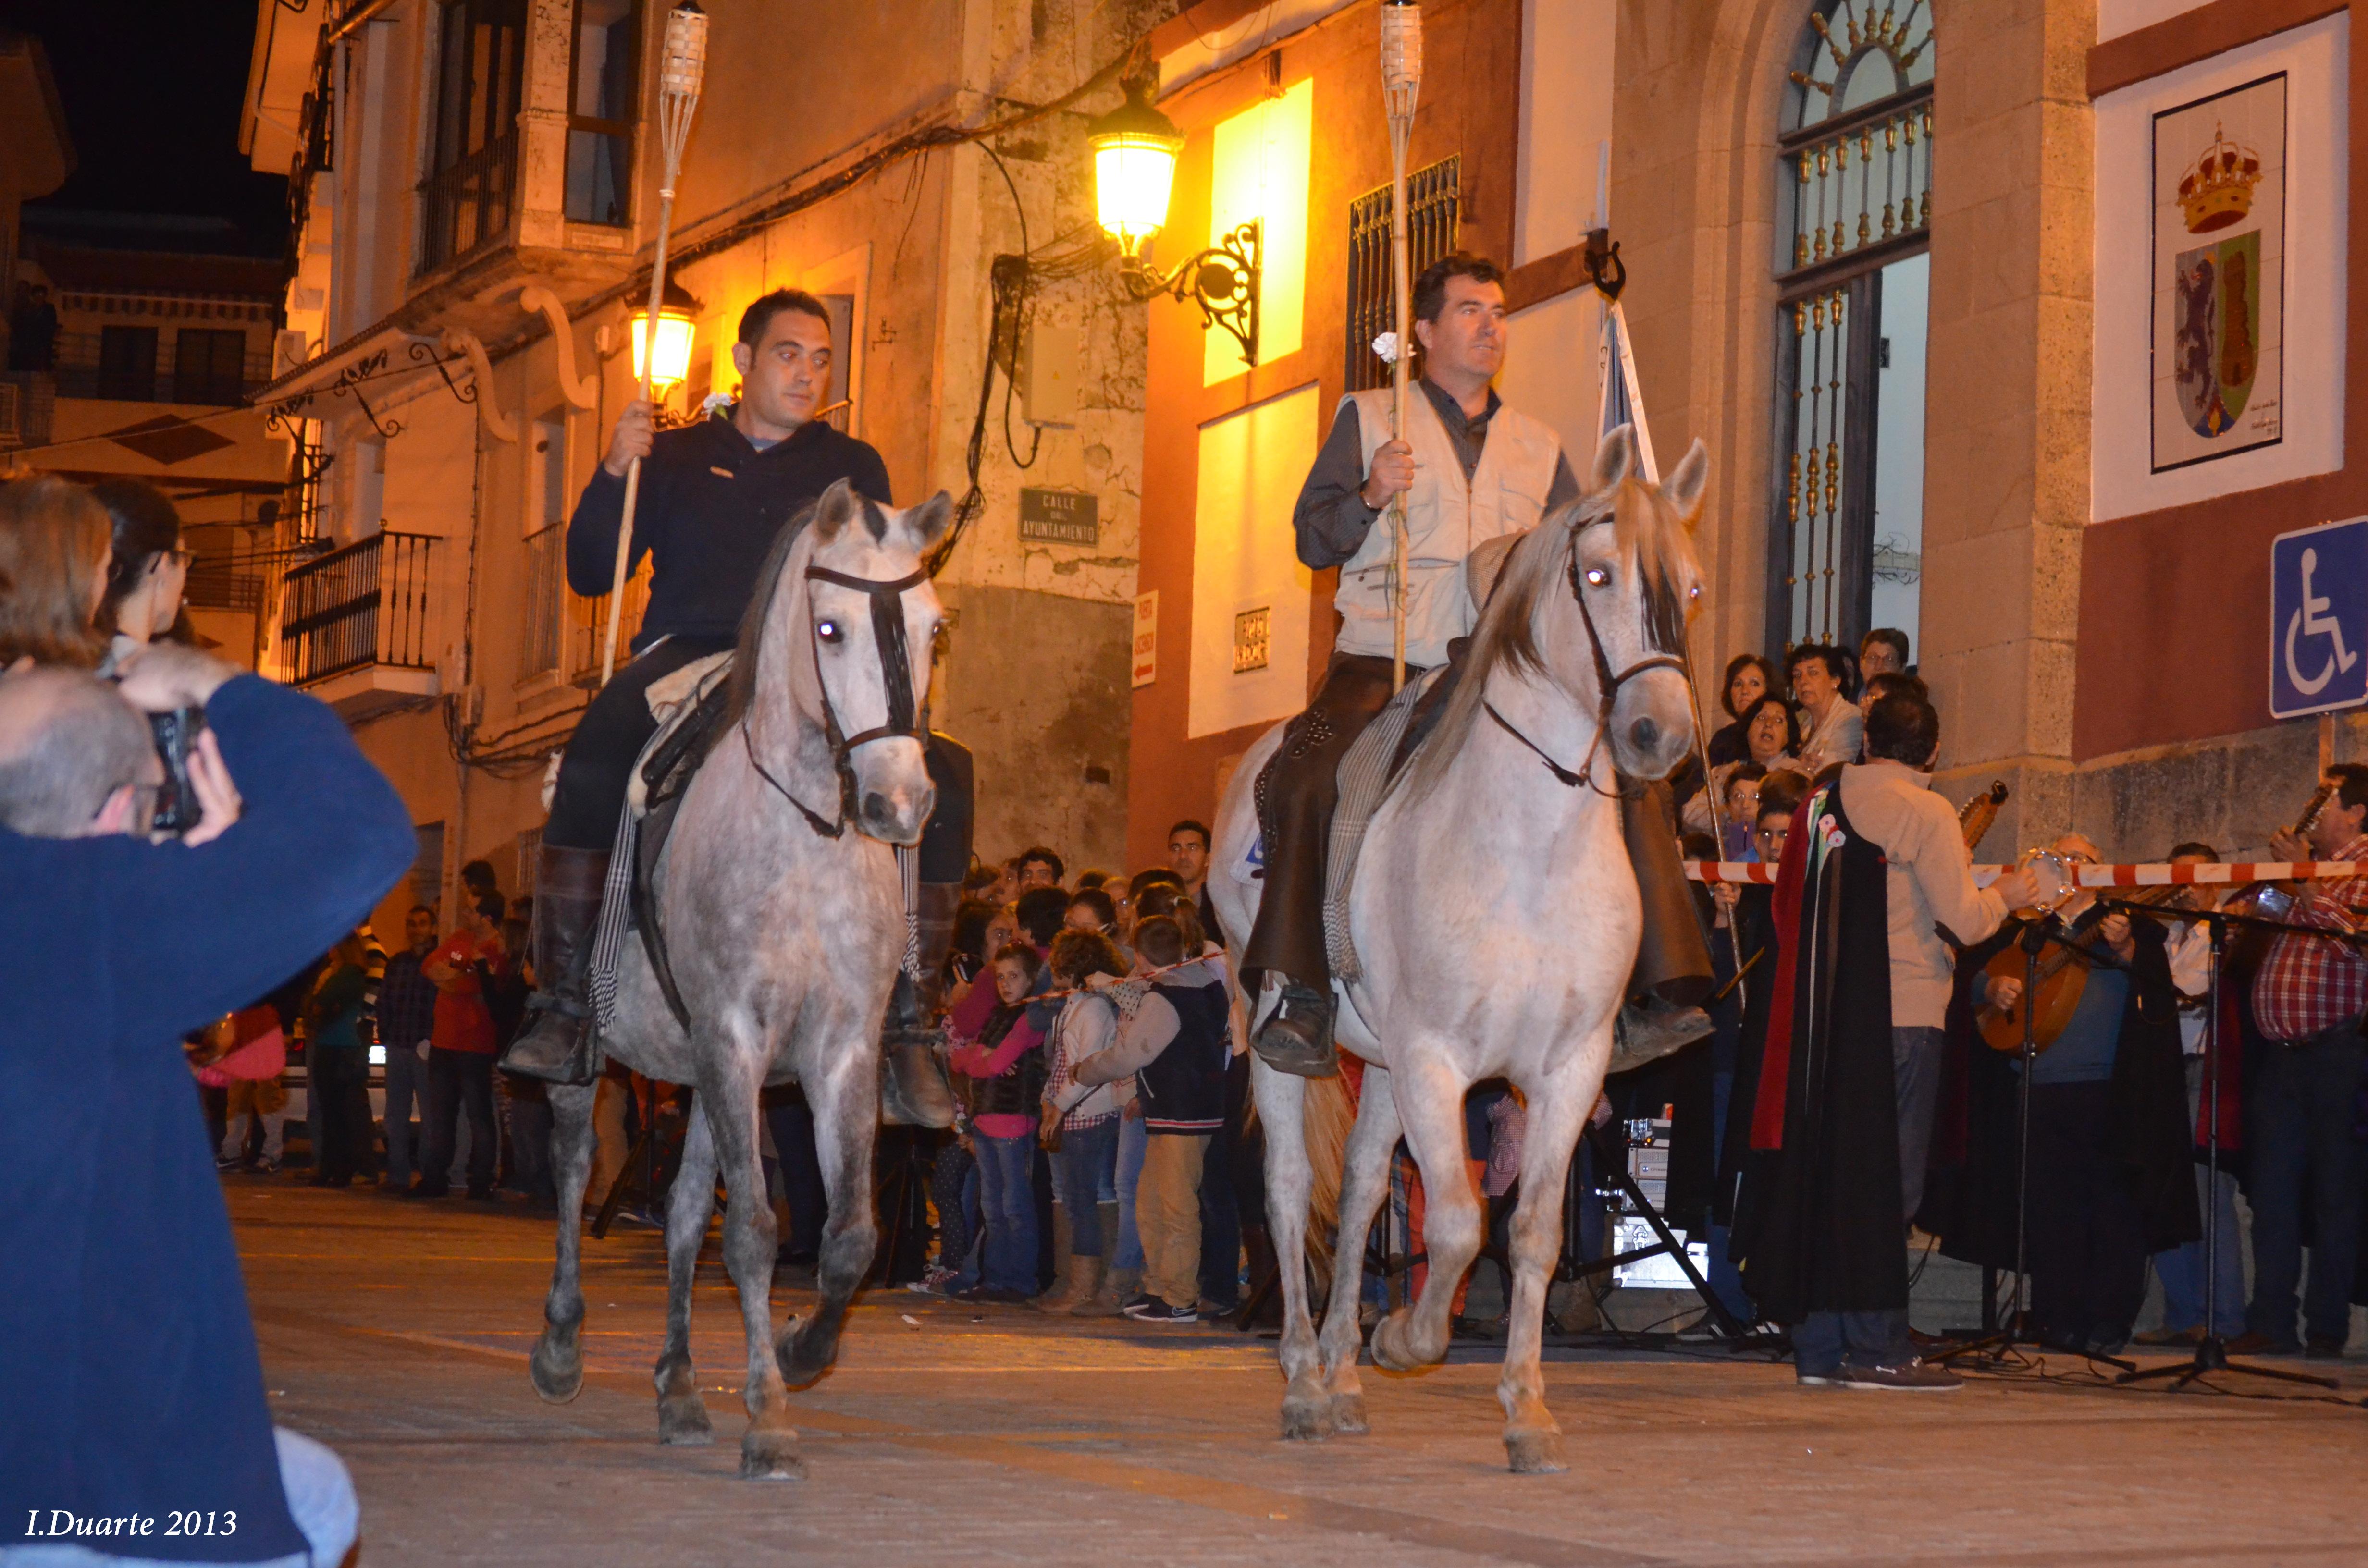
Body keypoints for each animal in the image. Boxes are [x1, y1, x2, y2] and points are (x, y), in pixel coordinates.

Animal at [532, 483, 947, 1487]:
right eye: (829, 627)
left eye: (934, 626)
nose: (900, 803)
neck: (805, 834)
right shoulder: (731, 1031)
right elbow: (756, 1230)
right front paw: (768, 1416)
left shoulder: (838, 1049)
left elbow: (847, 1235)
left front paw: (801, 1349)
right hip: (609, 1059)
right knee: (573, 1166)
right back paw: (562, 1343)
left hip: (703, 1073)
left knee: (684, 1211)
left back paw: (681, 1387)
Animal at [1221, 426, 1705, 1478]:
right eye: (1598, 574)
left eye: (1690, 587)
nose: (1659, 735)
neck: (1528, 850)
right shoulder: (1437, 1059)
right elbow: (1451, 1221)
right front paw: (1408, 1337)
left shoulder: (1566, 1069)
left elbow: (1528, 1231)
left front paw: (1526, 1410)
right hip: (1286, 1030)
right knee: (1290, 1188)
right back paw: (1304, 1381)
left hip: (1379, 1067)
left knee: (1363, 1189)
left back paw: (1340, 1379)